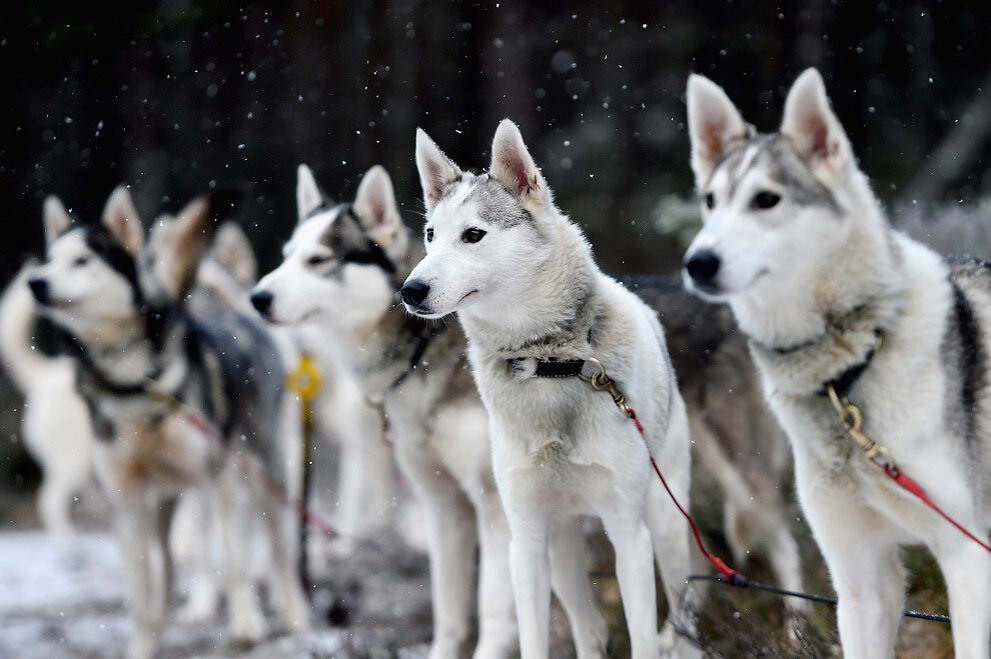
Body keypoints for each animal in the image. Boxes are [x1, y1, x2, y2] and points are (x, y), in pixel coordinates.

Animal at [29, 189, 308, 659]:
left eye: (82, 260)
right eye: (49, 260)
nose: (35, 282)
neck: (135, 385)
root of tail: (232, 314)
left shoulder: (219, 478)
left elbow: (235, 562)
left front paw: (247, 625)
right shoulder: (126, 501)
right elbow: (140, 590)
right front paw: (142, 644)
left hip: (261, 475)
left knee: (279, 552)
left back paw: (293, 615)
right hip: (165, 503)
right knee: (168, 565)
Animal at [250, 165, 528, 659]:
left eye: (319, 260)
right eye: (286, 257)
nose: (257, 298)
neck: (424, 344)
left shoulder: (494, 502)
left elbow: (495, 608)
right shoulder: (443, 501)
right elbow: (449, 610)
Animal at [402, 120, 696, 659]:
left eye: (473, 235)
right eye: (431, 235)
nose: (409, 290)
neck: (550, 365)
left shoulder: (630, 535)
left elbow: (643, 636)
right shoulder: (525, 541)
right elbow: (534, 636)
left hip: (666, 524)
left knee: (684, 614)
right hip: (561, 551)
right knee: (590, 626)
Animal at [684, 68, 991, 659]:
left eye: (766, 200)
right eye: (710, 200)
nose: (698, 262)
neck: (849, 374)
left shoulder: (967, 559)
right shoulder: (861, 582)